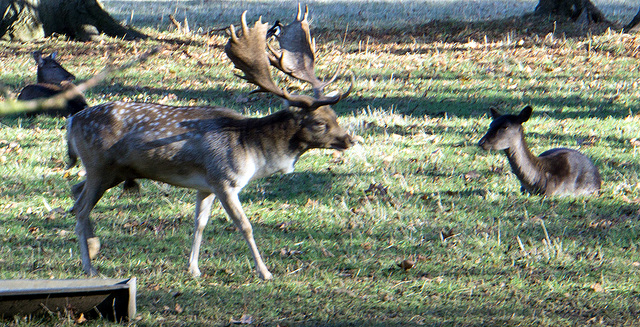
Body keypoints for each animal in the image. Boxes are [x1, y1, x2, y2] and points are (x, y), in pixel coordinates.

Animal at [67, 6, 352, 280]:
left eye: (335, 116)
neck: (253, 149)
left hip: (113, 171)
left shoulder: (206, 186)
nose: (349, 139)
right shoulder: (224, 180)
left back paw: (93, 247)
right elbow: (245, 225)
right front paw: (265, 272)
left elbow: (200, 223)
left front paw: (194, 269)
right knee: (80, 209)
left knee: (75, 190)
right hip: (99, 166)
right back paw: (89, 267)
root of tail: (72, 121)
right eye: (319, 123)